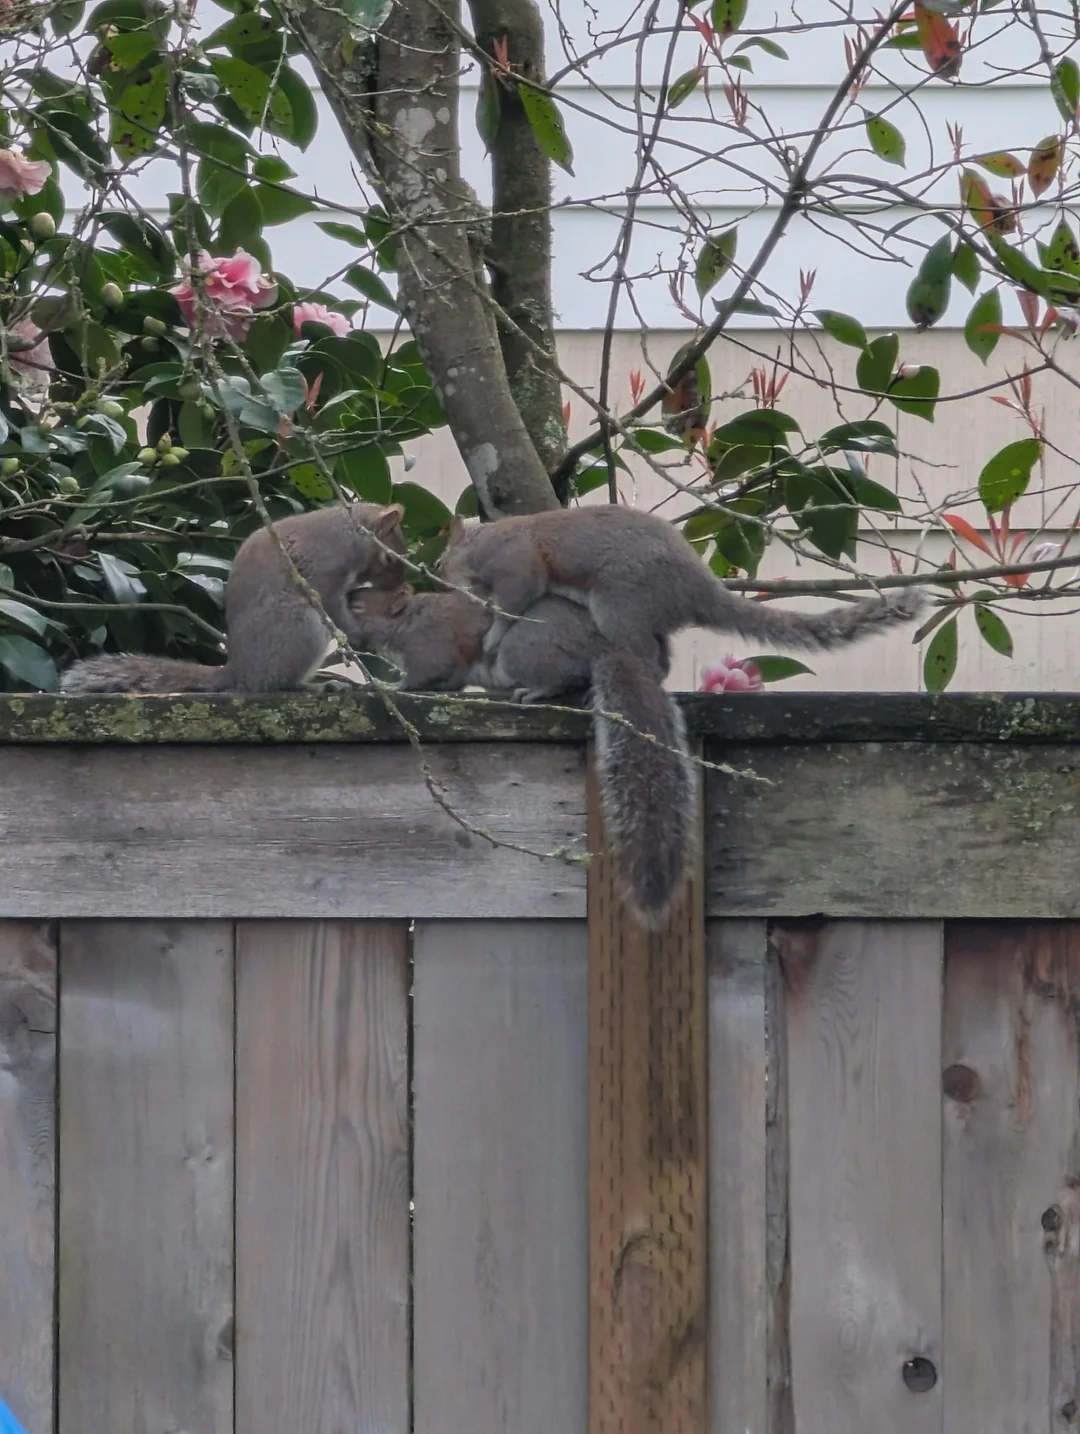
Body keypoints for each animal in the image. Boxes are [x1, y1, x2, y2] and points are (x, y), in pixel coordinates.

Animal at [60, 502, 408, 694]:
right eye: (390, 558)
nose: (400, 584)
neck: (351, 531)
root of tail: (240, 671)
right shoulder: (325, 572)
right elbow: (335, 608)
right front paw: (358, 636)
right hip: (299, 625)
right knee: (272, 685)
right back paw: (317, 685)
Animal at [349, 583, 694, 927]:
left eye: (358, 607)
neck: (407, 620)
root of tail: (607, 645)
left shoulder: (429, 646)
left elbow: (421, 675)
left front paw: (389, 685)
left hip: (525, 648)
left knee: (559, 676)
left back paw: (537, 690)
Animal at [436, 505, 926, 662]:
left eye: (441, 560)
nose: (439, 580)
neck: (482, 544)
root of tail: (696, 588)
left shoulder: (517, 566)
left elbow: (515, 601)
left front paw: (494, 636)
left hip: (620, 604)